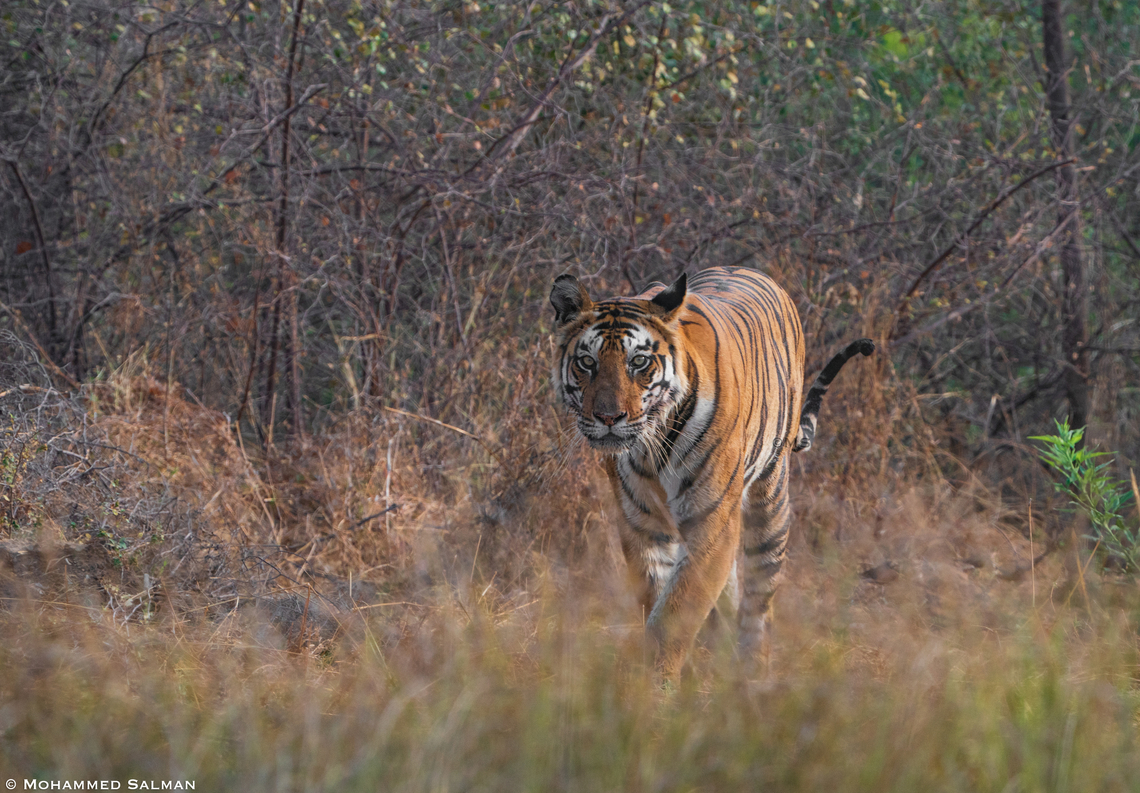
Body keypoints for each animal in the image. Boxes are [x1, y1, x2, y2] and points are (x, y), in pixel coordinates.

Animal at [550, 266, 873, 679]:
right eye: (587, 362)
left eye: (638, 362)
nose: (608, 417)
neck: (653, 446)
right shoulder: (641, 525)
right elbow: (660, 601)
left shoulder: (711, 521)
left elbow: (674, 615)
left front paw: (656, 684)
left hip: (769, 502)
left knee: (758, 600)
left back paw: (752, 670)